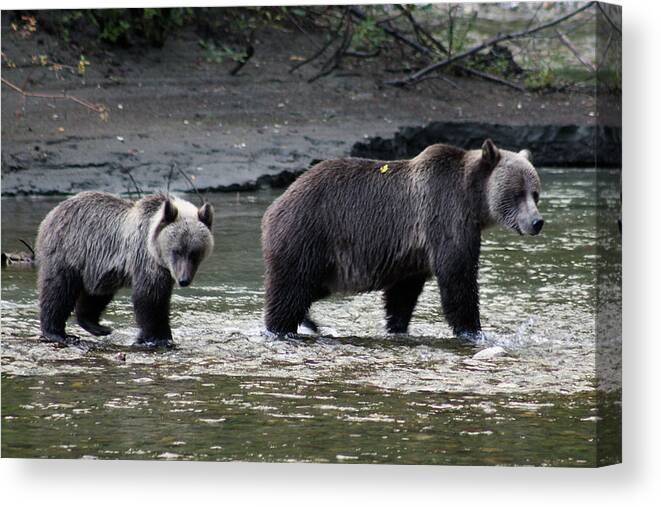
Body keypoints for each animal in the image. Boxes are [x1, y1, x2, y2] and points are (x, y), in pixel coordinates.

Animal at [260, 139, 544, 340]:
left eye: (535, 193)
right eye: (517, 193)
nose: (536, 222)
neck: (473, 201)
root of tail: (273, 207)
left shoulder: (413, 256)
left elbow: (402, 295)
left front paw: (397, 326)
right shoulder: (445, 217)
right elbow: (457, 278)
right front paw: (472, 330)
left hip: (327, 263)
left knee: (306, 291)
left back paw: (310, 322)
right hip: (308, 236)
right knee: (289, 292)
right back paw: (280, 328)